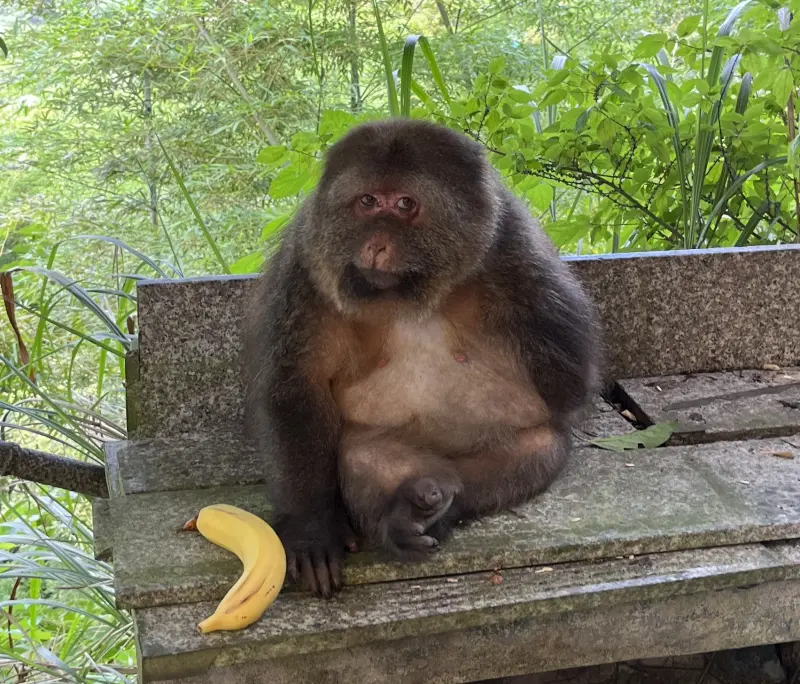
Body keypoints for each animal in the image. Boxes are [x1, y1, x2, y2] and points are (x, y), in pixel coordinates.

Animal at [243, 118, 601, 599]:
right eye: (368, 202)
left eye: (405, 204)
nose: (376, 245)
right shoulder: (307, 259)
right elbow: (297, 384)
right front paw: (311, 526)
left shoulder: (516, 245)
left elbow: (570, 385)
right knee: (362, 454)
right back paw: (402, 518)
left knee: (538, 447)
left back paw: (436, 511)